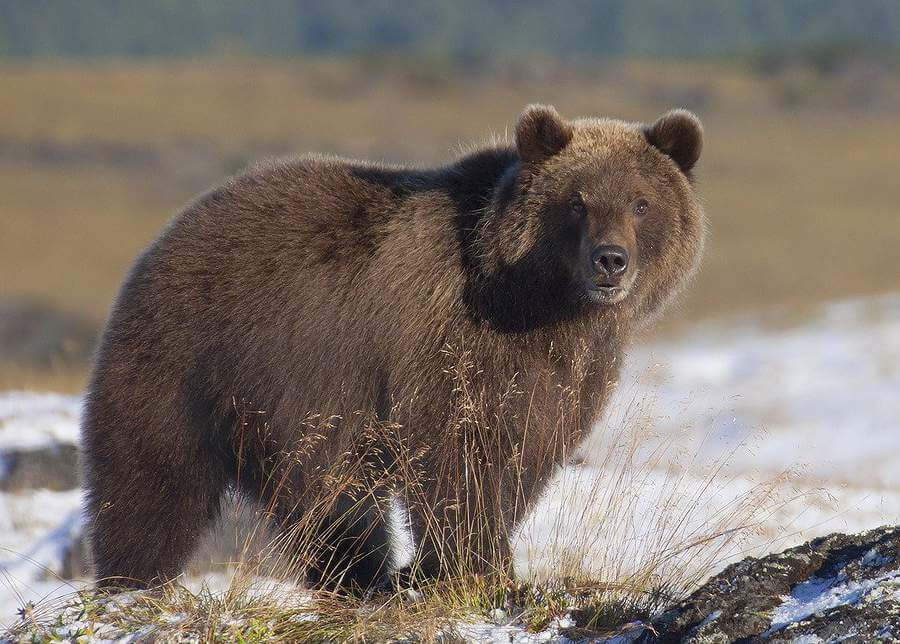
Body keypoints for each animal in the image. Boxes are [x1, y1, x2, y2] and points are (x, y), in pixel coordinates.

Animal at [81, 103, 708, 592]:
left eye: (641, 203)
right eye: (577, 202)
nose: (610, 260)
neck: (542, 305)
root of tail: (172, 229)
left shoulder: (563, 373)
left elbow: (525, 457)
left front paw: (458, 565)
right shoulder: (446, 345)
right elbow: (458, 457)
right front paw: (472, 566)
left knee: (329, 504)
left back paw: (358, 576)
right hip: (192, 359)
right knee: (151, 483)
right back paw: (132, 582)